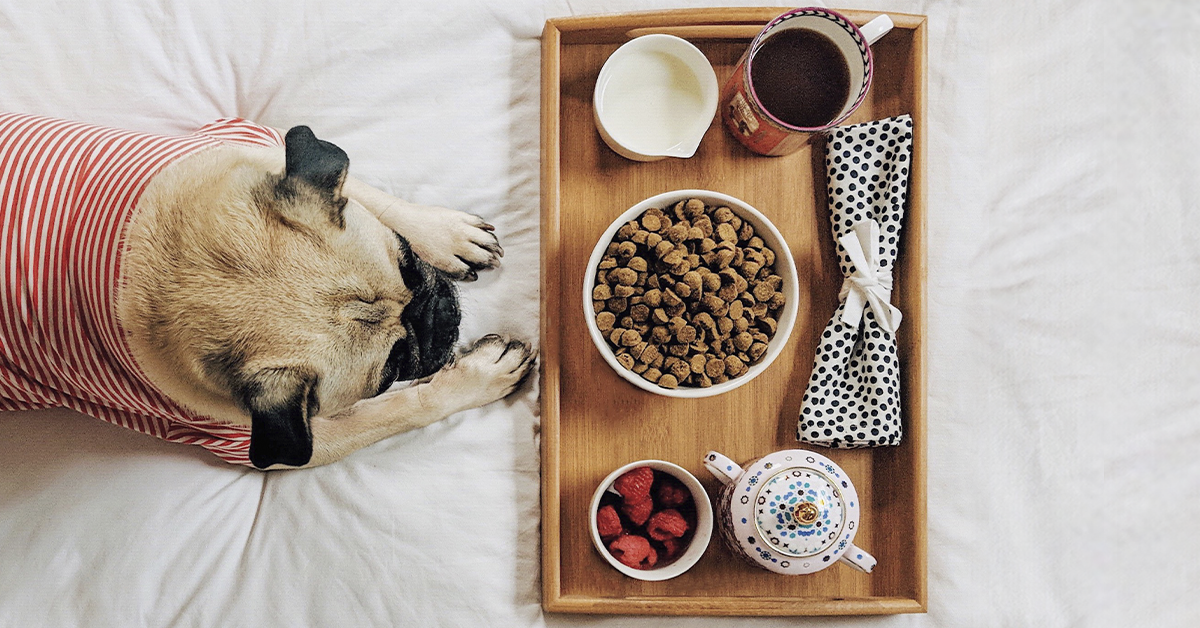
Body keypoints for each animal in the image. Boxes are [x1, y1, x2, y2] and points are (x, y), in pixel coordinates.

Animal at [0, 111, 535, 465]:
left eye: (407, 260)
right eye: (393, 368)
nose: (442, 317)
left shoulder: (249, 147)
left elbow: (365, 192)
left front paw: (445, 235)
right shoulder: (273, 437)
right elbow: (407, 407)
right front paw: (478, 378)